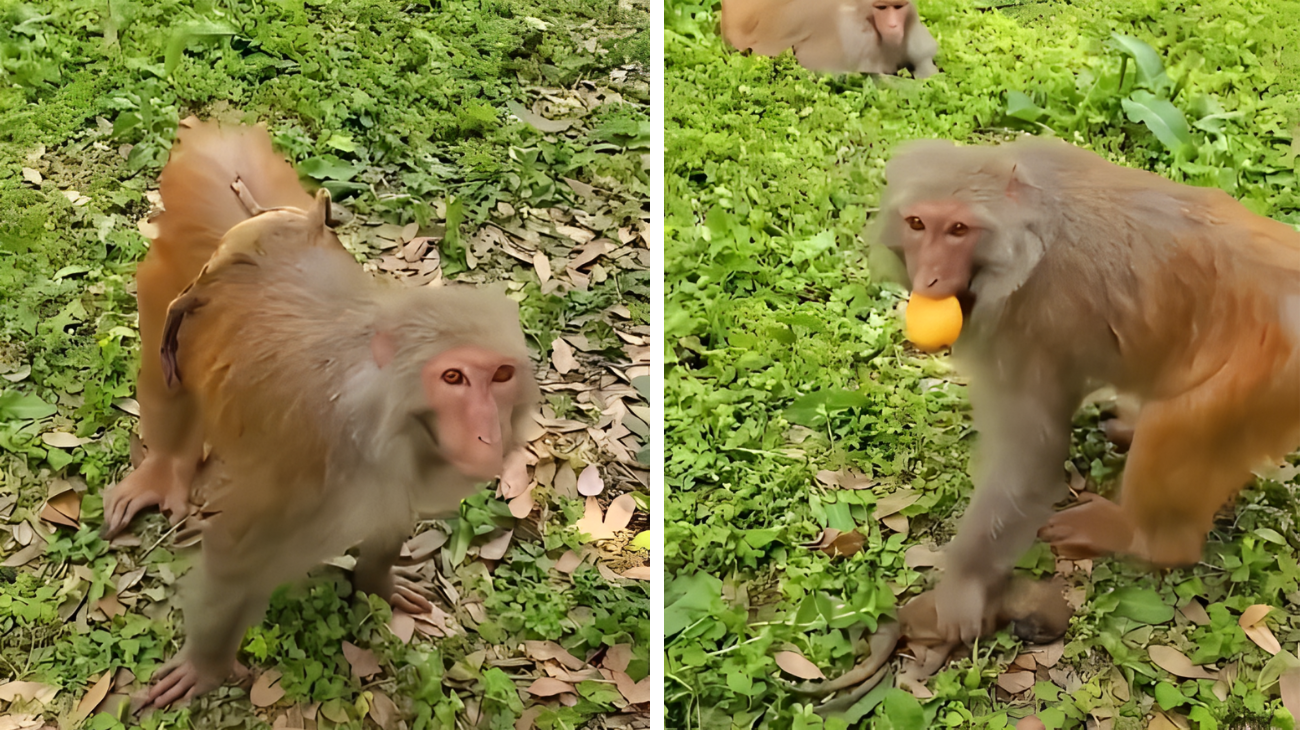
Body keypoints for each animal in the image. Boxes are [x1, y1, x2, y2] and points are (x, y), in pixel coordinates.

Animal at [873, 135, 1300, 641]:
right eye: (918, 224)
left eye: (958, 229)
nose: (930, 278)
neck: (1029, 232)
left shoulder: (1026, 324)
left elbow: (1030, 455)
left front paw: (964, 583)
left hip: (1257, 378)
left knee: (1178, 428)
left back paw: (1146, 539)